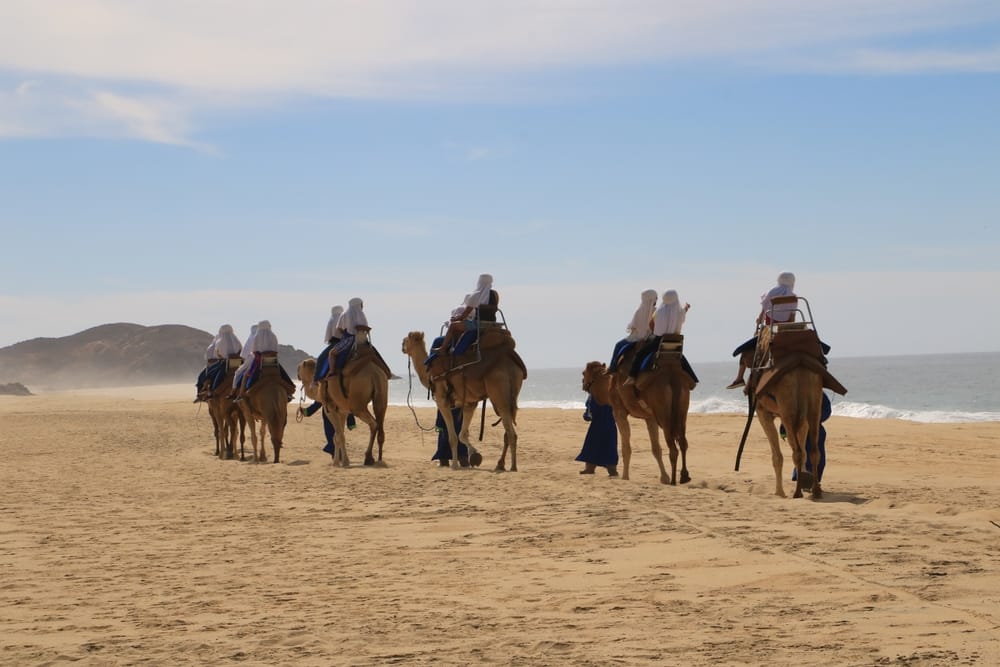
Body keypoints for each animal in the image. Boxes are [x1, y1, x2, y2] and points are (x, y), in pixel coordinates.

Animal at [292, 330, 386, 468]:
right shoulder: (342, 410)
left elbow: (338, 436)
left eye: (300, 367)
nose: (297, 373)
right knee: (380, 424)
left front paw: (341, 462)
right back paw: (378, 458)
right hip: (382, 395)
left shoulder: (330, 409)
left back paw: (368, 457)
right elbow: (339, 435)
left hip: (357, 404)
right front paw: (339, 460)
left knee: (373, 423)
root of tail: (374, 373)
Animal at [400, 332, 528, 472]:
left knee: (511, 433)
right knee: (508, 431)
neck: (429, 374)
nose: (402, 347)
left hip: (499, 393)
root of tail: (512, 363)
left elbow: (453, 437)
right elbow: (463, 434)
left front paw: (455, 465)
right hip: (512, 394)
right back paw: (500, 464)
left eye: (405, 340)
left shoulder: (442, 401)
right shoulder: (469, 404)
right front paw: (474, 456)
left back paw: (513, 466)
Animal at [584, 336, 692, 482]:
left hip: (663, 411)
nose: (583, 384)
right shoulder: (650, 417)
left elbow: (626, 447)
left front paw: (625, 476)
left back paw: (674, 481)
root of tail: (672, 376)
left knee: (673, 446)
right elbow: (656, 448)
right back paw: (684, 476)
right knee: (683, 442)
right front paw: (664, 477)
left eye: (583, 373)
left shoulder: (618, 411)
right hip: (682, 407)